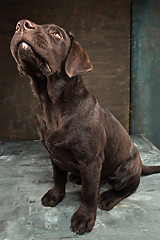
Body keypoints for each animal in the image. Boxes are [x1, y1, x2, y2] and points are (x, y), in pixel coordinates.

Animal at [10, 20, 160, 234]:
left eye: (56, 34)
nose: (22, 24)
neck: (51, 105)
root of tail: (140, 164)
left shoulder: (91, 161)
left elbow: (88, 193)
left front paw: (84, 218)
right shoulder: (53, 154)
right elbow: (58, 178)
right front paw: (55, 196)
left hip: (126, 169)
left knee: (129, 186)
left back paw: (108, 197)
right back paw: (77, 178)